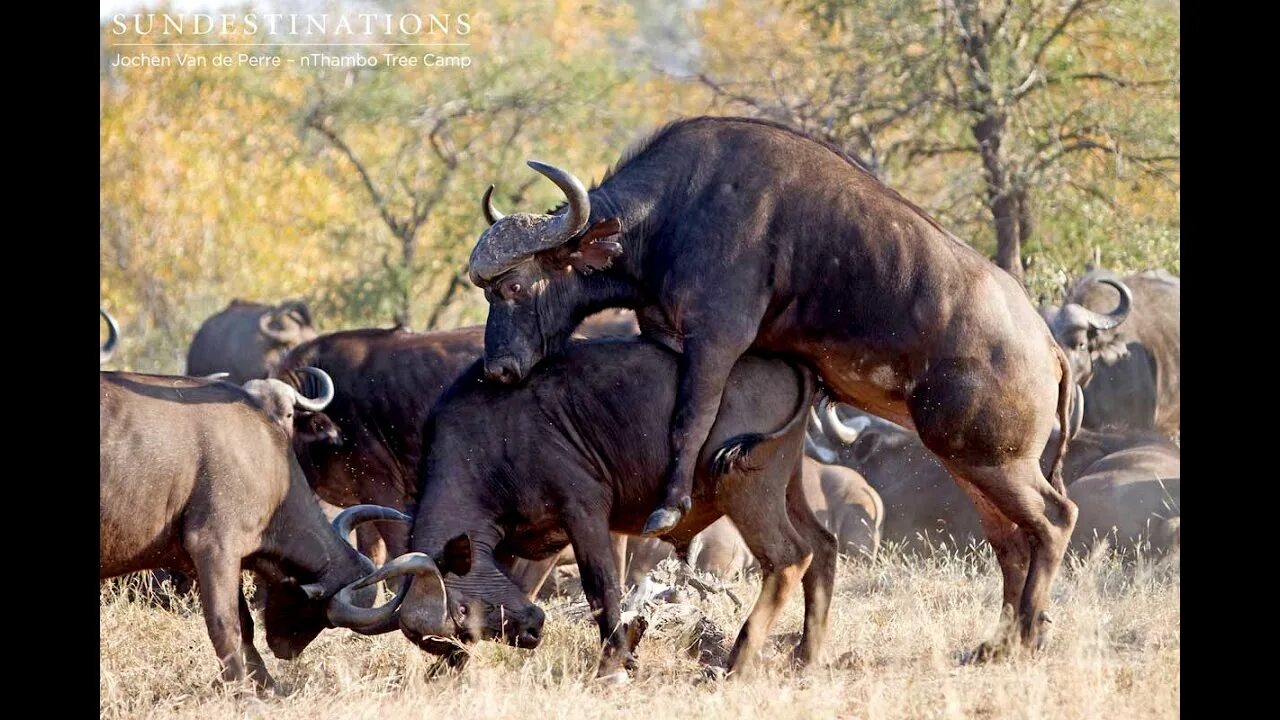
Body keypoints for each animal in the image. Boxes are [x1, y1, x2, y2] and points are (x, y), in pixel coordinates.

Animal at [97, 366, 437, 686]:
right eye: (322, 614)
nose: (286, 650)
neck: (264, 463)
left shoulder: (210, 560)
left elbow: (246, 627)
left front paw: (266, 684)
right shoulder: (214, 550)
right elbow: (226, 627)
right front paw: (243, 689)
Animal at [358, 338, 839, 676]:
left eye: (458, 611)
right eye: (447, 635)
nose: (531, 632)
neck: (491, 440)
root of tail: (795, 365)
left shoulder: (584, 512)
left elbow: (601, 588)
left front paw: (614, 664)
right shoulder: (529, 542)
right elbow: (526, 584)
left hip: (746, 487)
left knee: (788, 557)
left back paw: (737, 664)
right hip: (788, 482)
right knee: (823, 544)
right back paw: (807, 658)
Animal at [465, 116, 1075, 655]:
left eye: (515, 286)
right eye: (486, 290)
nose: (498, 370)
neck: (675, 212)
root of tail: (1047, 347)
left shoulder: (717, 340)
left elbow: (691, 418)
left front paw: (670, 508)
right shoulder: (668, 337)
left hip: (992, 461)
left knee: (1053, 520)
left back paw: (1027, 636)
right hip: (967, 463)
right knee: (1011, 543)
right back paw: (996, 644)